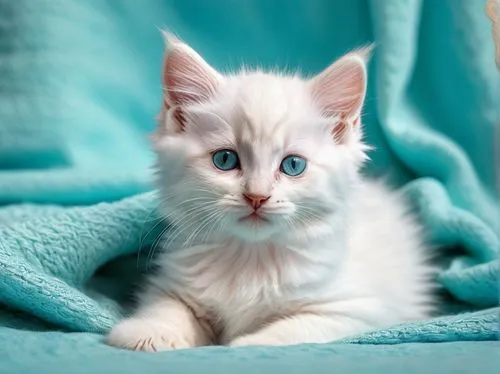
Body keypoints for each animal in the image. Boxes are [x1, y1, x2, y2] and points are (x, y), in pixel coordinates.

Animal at [105, 35, 434, 350]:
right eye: (225, 160)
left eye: (293, 165)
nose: (256, 196)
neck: (251, 259)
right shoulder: (173, 285)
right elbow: (168, 307)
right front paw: (147, 332)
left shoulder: (355, 309)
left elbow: (296, 328)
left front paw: (248, 343)